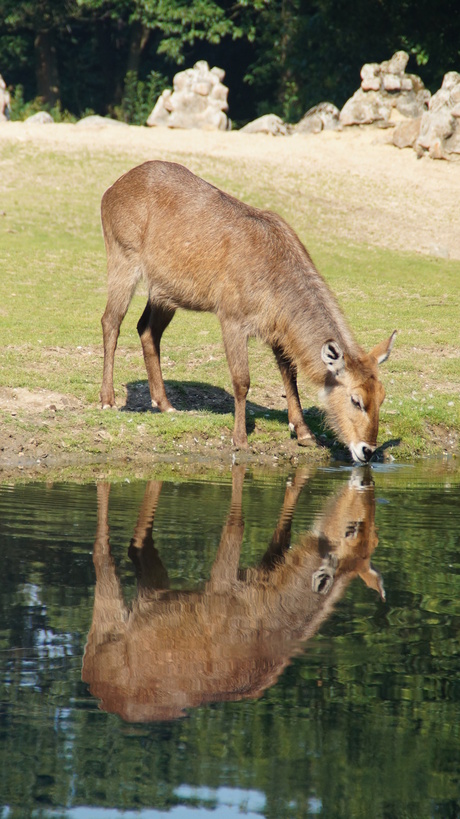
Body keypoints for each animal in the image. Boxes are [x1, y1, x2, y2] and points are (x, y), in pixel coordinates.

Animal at [83, 468, 384, 724]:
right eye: (352, 529)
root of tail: (91, 679)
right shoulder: (221, 581)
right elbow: (237, 523)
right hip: (108, 616)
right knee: (101, 553)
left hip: (153, 587)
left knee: (136, 548)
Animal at [100, 162, 396, 462]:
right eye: (356, 400)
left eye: (382, 396)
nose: (367, 450)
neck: (275, 270)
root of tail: (111, 189)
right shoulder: (231, 319)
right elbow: (242, 380)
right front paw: (240, 439)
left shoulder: (277, 330)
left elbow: (289, 374)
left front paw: (304, 433)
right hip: (123, 261)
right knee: (111, 321)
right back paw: (108, 400)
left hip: (165, 293)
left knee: (147, 330)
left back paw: (165, 404)